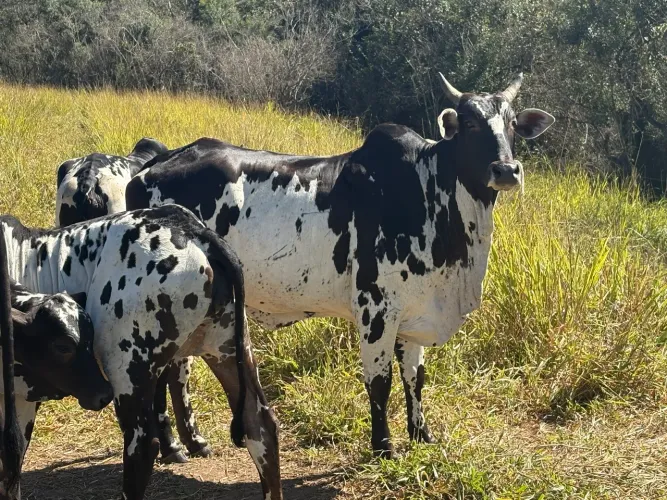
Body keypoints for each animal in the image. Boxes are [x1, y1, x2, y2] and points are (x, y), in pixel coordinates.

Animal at [126, 73, 554, 458]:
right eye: (469, 123)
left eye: (512, 123)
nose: (507, 170)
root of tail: (151, 166)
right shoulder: (376, 307)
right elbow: (380, 381)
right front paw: (384, 447)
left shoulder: (414, 311)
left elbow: (415, 378)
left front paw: (422, 435)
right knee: (163, 371)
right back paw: (172, 446)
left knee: (176, 370)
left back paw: (192, 442)